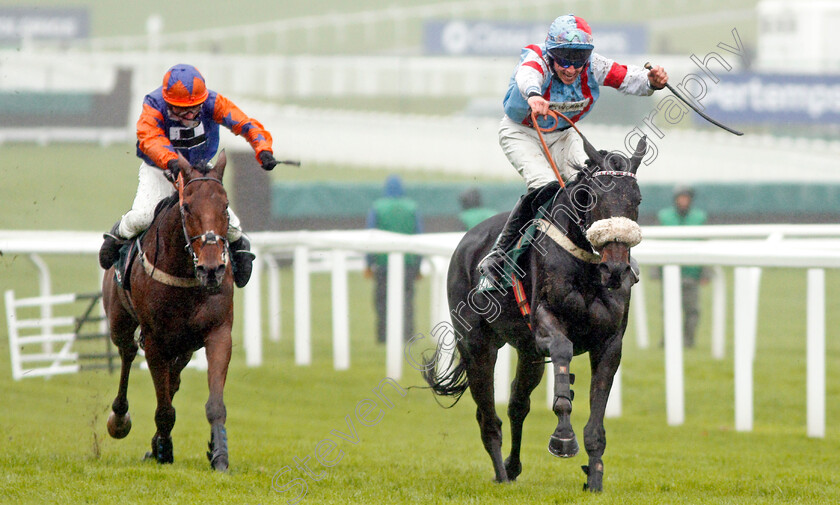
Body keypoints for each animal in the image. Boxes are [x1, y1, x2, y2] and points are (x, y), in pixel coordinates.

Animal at [104, 152, 236, 470]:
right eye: (187, 207)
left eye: (225, 206)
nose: (212, 269)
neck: (187, 275)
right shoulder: (155, 340)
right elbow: (164, 408)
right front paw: (163, 449)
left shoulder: (219, 332)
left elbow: (214, 403)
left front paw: (219, 453)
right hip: (119, 322)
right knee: (127, 354)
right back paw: (120, 417)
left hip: (185, 345)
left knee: (172, 380)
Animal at [424, 132, 648, 490]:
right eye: (593, 198)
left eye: (637, 200)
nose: (615, 269)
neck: (586, 266)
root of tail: (468, 240)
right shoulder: (544, 322)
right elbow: (563, 350)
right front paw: (563, 436)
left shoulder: (609, 342)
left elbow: (596, 418)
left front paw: (594, 479)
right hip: (477, 345)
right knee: (488, 417)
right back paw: (501, 474)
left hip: (527, 353)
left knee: (518, 404)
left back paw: (512, 466)